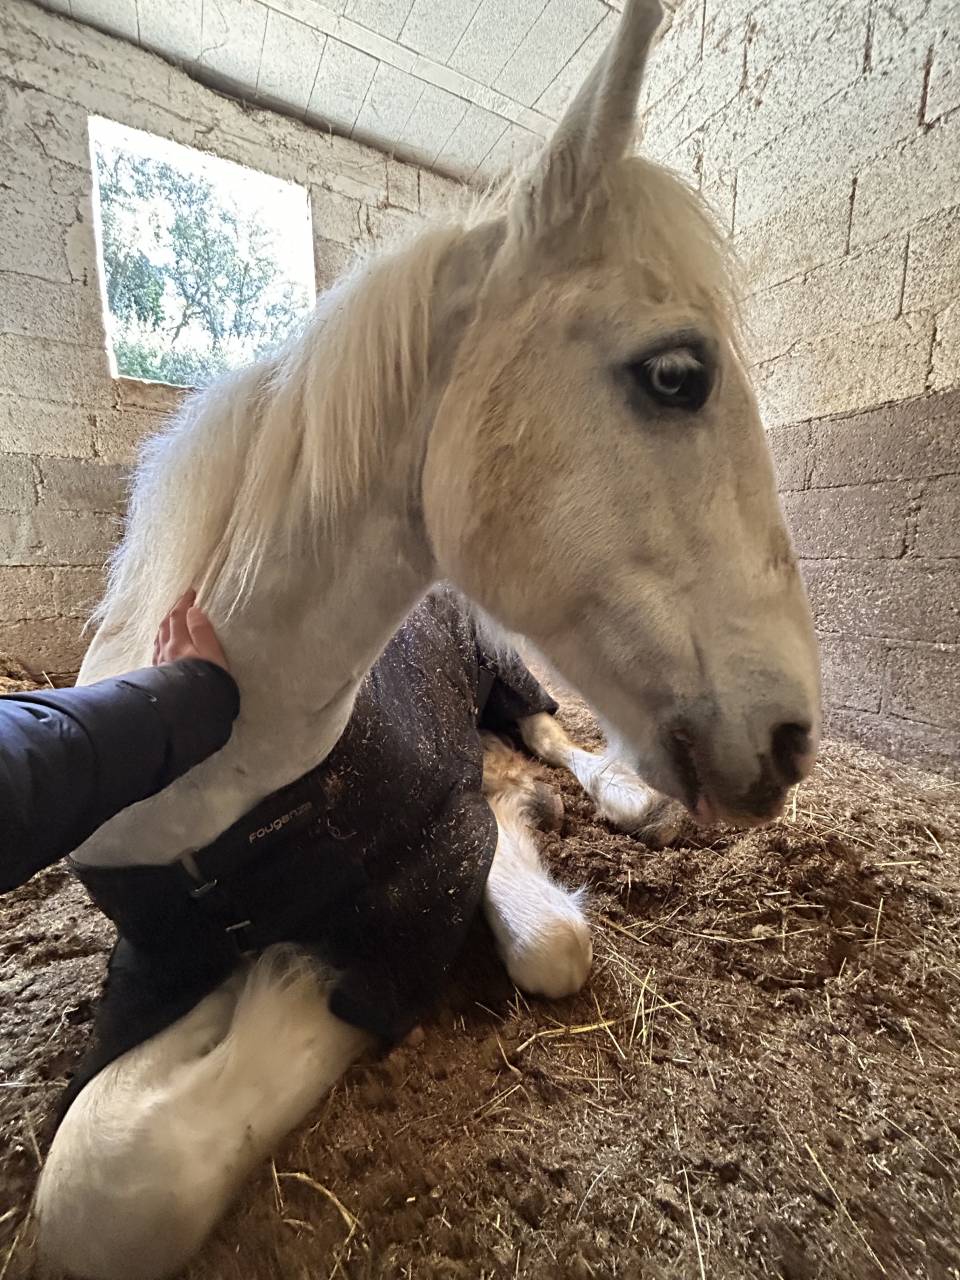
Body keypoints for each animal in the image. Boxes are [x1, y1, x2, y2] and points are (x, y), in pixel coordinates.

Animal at [30, 0, 821, 1274]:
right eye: (676, 373)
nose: (796, 737)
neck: (237, 756)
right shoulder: (144, 962)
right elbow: (97, 1181)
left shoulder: (422, 879)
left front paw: (286, 976)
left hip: (507, 667)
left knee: (551, 730)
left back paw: (612, 791)